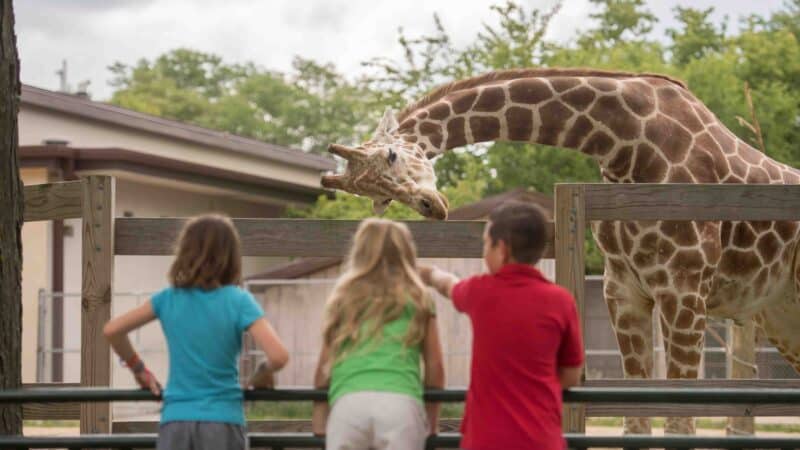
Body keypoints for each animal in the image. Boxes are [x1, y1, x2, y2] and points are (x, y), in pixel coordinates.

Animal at [322, 67, 800, 436]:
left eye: (391, 155)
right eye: (379, 199)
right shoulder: (624, 291)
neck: (625, 142)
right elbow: (635, 421)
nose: (431, 206)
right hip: (779, 315)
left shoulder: (684, 290)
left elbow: (679, 424)